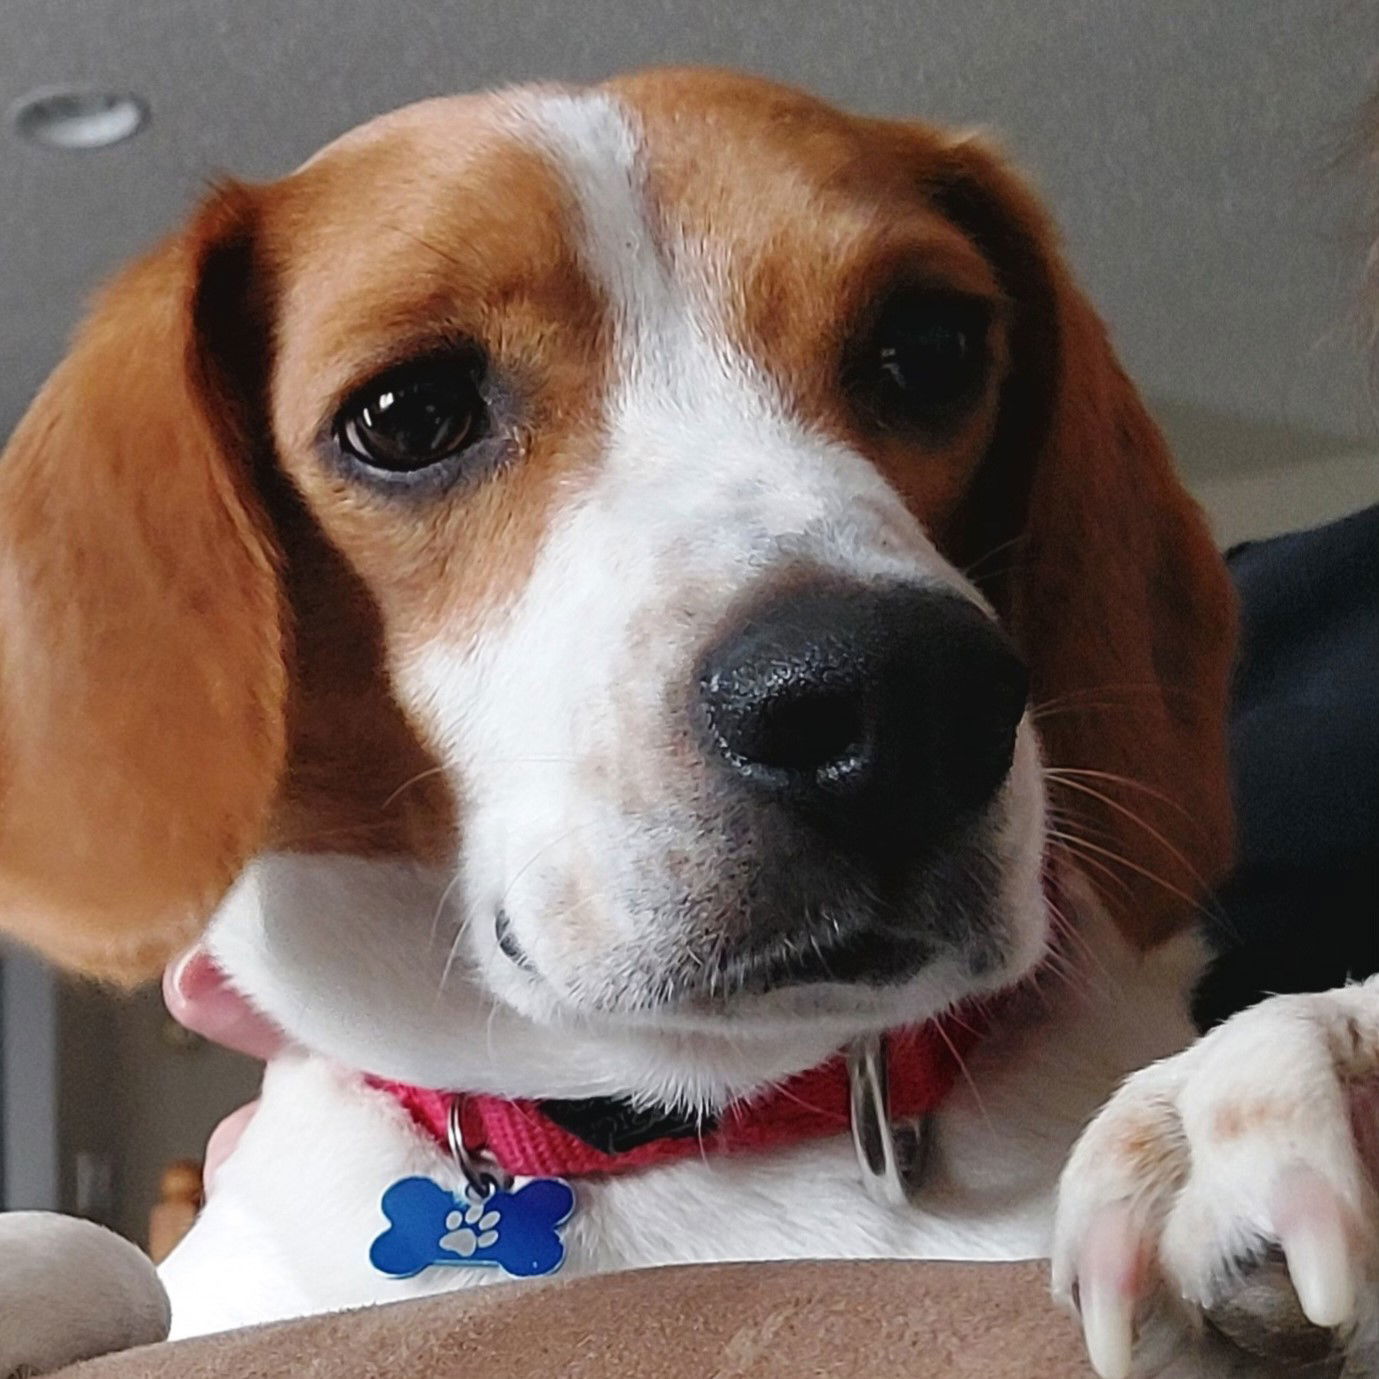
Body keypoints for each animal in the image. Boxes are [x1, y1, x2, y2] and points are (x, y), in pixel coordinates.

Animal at [0, 69, 1373, 1373]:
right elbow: (106, 1253)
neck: (680, 1121)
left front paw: (1275, 1085)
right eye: (407, 414)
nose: (893, 696)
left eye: (929, 345)